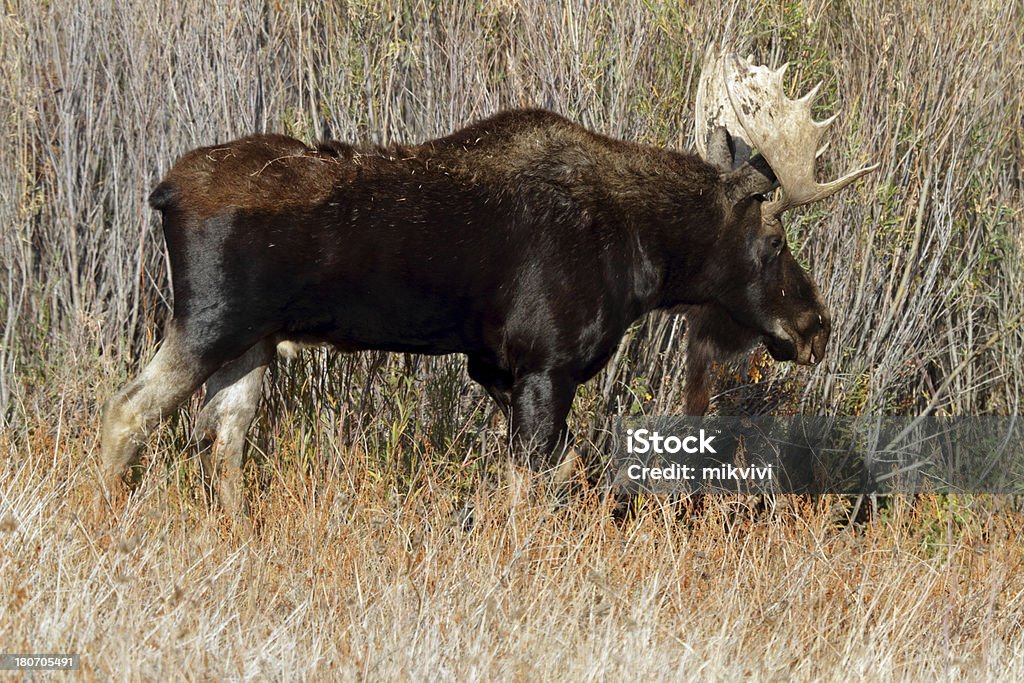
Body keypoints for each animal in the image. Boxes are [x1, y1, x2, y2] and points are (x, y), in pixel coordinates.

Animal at [99, 50, 876, 509]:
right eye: (774, 242)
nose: (815, 325)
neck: (645, 253)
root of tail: (164, 191)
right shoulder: (545, 363)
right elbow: (540, 484)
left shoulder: (497, 369)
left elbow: (548, 474)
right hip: (210, 320)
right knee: (127, 410)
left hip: (253, 340)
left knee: (223, 438)